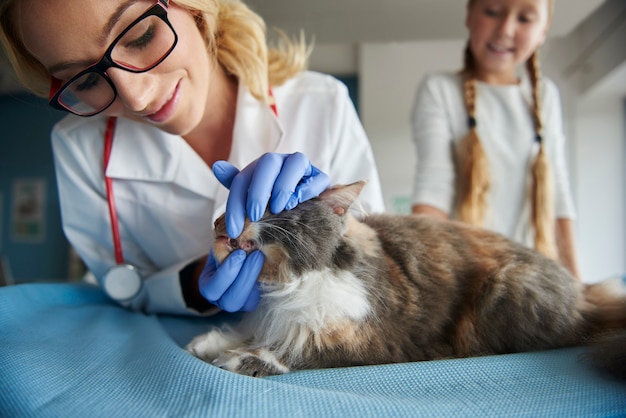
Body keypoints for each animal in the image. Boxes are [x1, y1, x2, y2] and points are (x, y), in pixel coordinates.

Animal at [185, 181, 624, 378]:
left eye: (269, 204)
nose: (220, 225)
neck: (285, 282)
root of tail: (584, 293)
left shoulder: (370, 337)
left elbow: (298, 347)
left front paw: (240, 357)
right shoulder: (268, 315)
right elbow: (254, 328)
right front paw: (210, 342)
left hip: (504, 290)